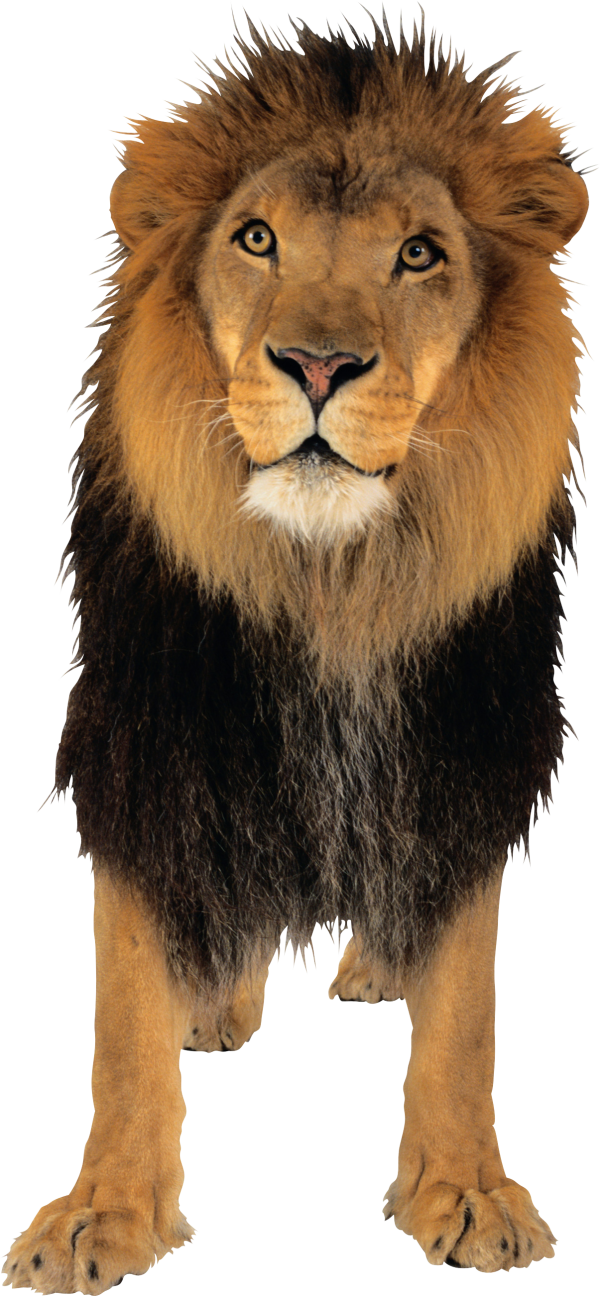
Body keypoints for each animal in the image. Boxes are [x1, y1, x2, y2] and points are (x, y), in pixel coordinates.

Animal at [2, 4, 593, 1288]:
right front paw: (104, 1211)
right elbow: (125, 1002)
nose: (319, 366)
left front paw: (465, 1189)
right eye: (256, 239)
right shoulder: (154, 738)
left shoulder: (456, 739)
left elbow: (464, 1005)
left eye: (419, 254)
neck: (329, 579)